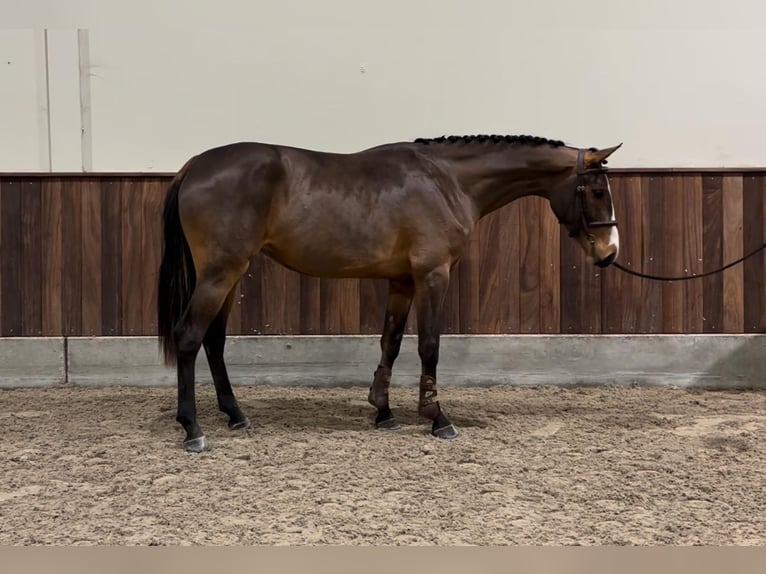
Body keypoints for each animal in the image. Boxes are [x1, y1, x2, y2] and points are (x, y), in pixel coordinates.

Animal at [158, 133, 624, 452]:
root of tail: (194, 165)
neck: (446, 181)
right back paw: (193, 429)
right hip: (220, 274)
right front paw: (437, 418)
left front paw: (383, 412)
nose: (609, 252)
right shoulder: (433, 275)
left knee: (214, 341)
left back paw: (235, 415)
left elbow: (391, 343)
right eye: (597, 191)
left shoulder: (401, 281)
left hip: (230, 275)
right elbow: (429, 345)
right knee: (189, 337)